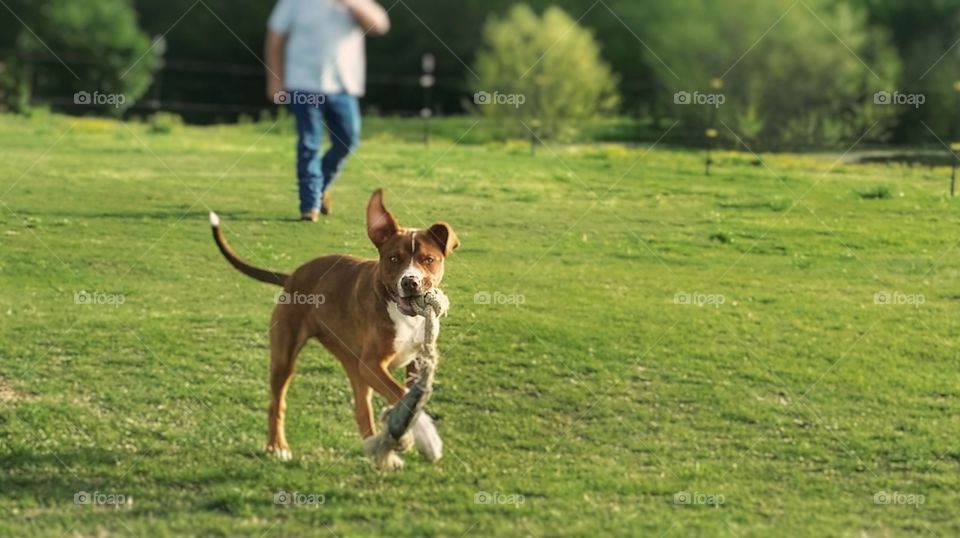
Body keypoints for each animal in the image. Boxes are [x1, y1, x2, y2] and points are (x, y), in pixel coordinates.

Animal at [210, 188, 458, 464]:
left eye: (429, 259)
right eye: (394, 258)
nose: (410, 282)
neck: (403, 314)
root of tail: (292, 277)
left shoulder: (407, 364)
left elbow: (407, 396)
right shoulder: (372, 365)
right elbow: (404, 397)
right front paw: (428, 438)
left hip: (353, 364)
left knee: (361, 408)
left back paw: (378, 454)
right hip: (286, 359)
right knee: (277, 402)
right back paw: (278, 447)